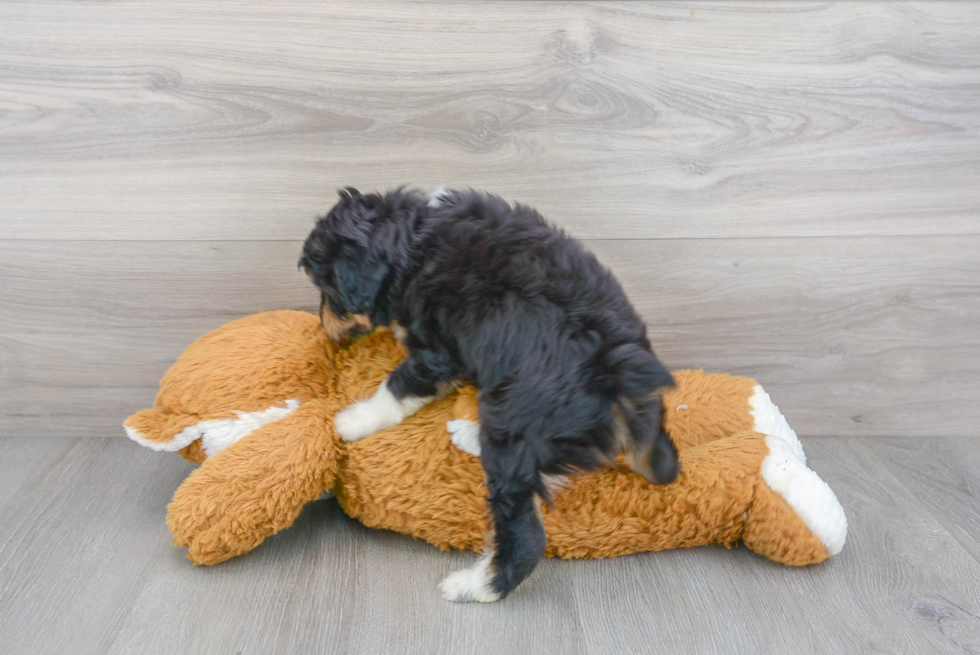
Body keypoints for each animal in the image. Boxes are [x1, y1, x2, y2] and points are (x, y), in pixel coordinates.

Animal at [302, 187, 676, 604]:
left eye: (327, 289)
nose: (322, 326)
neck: (415, 244)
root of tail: (620, 379)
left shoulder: (438, 352)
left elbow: (396, 386)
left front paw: (352, 421)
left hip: (516, 428)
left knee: (526, 532)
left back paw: (475, 585)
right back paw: (470, 435)